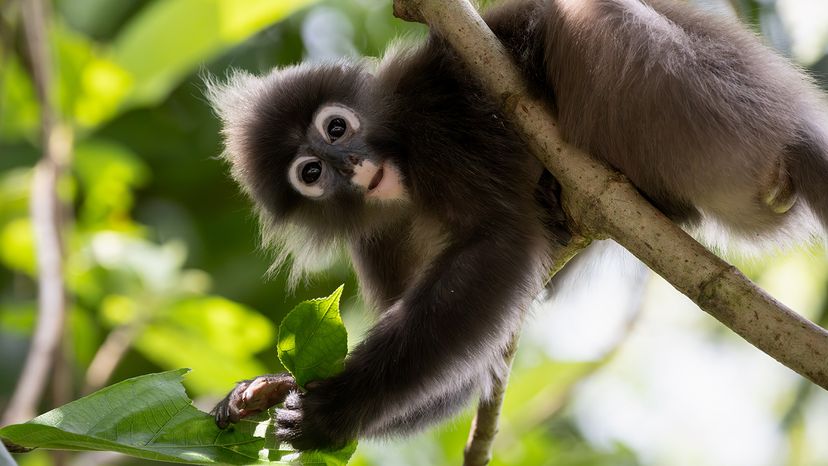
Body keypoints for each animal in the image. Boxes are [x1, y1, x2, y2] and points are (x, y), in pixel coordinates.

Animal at [206, 0, 828, 452]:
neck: (404, 179)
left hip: (699, 99)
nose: (352, 165)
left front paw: (337, 407)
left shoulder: (433, 132)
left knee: (577, 12)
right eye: (310, 172)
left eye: (336, 128)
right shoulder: (375, 239)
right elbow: (474, 366)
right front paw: (258, 396)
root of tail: (790, 130)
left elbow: (497, 244)